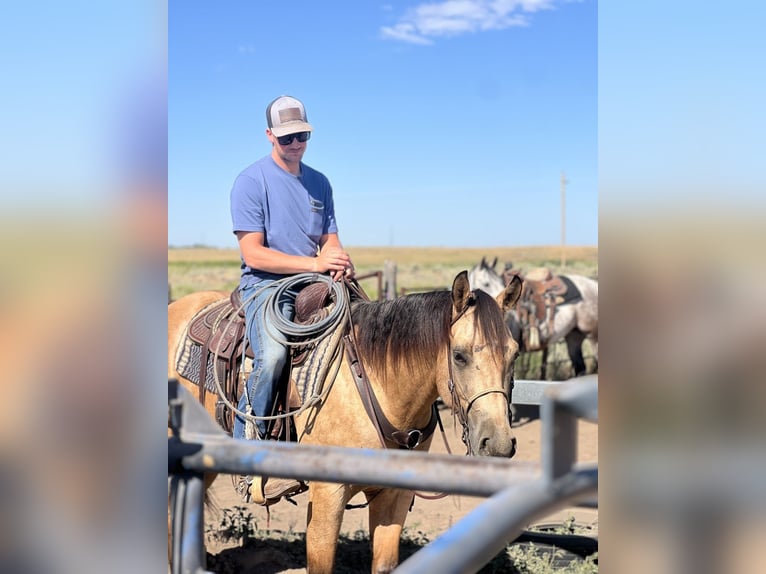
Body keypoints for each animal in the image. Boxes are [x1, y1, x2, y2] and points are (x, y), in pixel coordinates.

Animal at [168, 270, 523, 574]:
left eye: (515, 354)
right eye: (459, 355)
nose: (498, 444)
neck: (376, 385)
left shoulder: (394, 496)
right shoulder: (328, 495)